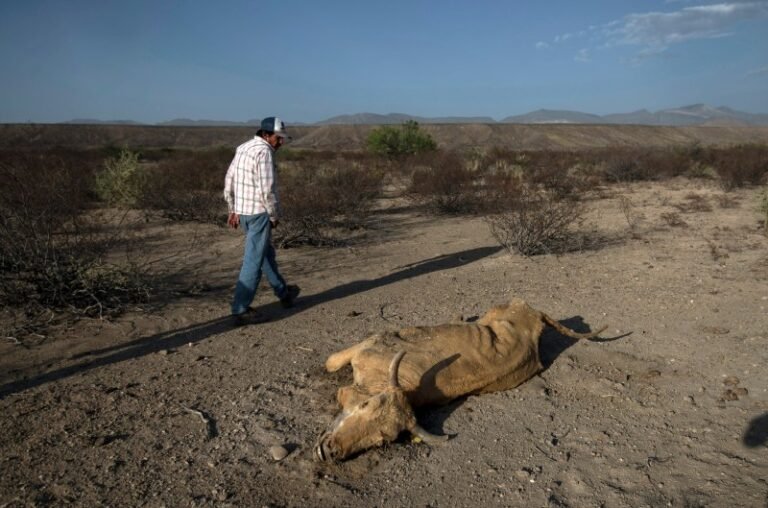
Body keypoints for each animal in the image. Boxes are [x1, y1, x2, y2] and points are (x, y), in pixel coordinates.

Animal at [314, 296, 608, 462]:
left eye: (382, 440)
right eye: (365, 406)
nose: (331, 452)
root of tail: (535, 313)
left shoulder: (369, 343)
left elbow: (330, 363)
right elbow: (331, 363)